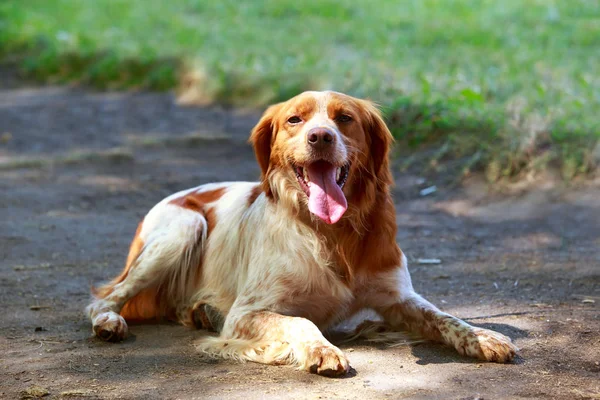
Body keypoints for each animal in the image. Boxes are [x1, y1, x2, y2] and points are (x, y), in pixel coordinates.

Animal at [86, 91, 516, 378]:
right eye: (295, 120)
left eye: (344, 118)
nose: (320, 136)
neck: (331, 234)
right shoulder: (246, 313)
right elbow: (299, 322)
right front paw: (321, 350)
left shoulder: (398, 297)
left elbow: (444, 316)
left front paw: (483, 337)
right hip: (184, 228)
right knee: (105, 298)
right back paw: (109, 322)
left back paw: (199, 312)